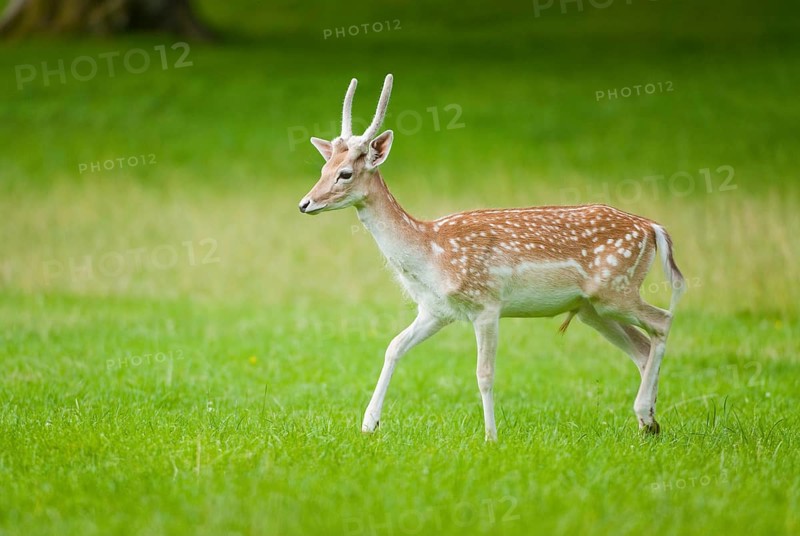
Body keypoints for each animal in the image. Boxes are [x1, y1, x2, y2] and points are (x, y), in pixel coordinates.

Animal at [299, 74, 685, 441]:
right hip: (592, 308)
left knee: (662, 321)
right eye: (322, 169)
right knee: (642, 347)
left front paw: (490, 437)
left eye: (345, 173)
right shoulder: (436, 310)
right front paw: (368, 425)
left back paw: (645, 413)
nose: (305, 203)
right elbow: (393, 347)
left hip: (615, 288)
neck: (430, 254)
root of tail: (653, 228)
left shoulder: (486, 303)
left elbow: (484, 373)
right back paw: (648, 423)